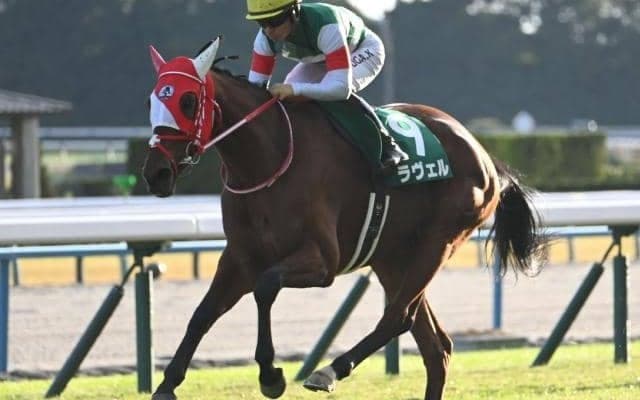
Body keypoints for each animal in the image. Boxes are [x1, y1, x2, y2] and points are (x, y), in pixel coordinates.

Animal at [142, 37, 547, 400]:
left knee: (399, 318)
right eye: (152, 100)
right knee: (436, 347)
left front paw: (271, 375)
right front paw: (167, 385)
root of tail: (483, 153)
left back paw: (328, 370)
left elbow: (266, 286)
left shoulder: (323, 261)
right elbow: (202, 313)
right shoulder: (240, 257)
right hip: (392, 256)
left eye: (187, 101)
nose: (155, 172)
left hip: (439, 240)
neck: (269, 160)